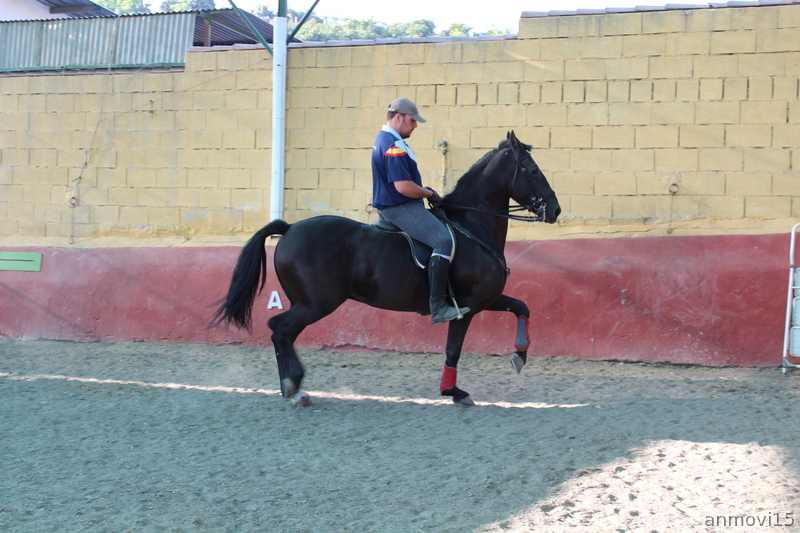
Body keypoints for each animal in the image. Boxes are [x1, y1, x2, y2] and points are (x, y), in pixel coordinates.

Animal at [212, 131, 561, 406]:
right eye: (532, 170)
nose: (555, 210)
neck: (472, 226)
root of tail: (289, 227)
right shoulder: (468, 306)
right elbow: (453, 350)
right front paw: (454, 392)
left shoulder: (487, 299)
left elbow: (523, 308)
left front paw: (520, 355)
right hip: (317, 303)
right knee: (280, 329)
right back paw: (294, 387)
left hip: (306, 302)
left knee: (282, 333)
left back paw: (292, 387)